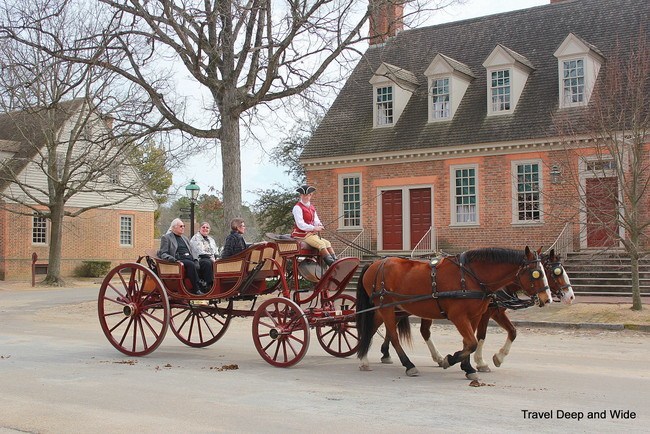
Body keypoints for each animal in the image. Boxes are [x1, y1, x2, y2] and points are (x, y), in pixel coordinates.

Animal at [356, 248, 548, 380]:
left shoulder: (475, 316)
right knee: (393, 336)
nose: (547, 299)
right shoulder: (459, 317)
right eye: (536, 273)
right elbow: (471, 343)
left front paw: (468, 367)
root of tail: (374, 264)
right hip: (386, 307)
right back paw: (408, 365)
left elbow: (470, 342)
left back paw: (364, 358)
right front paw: (451, 360)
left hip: (385, 309)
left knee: (372, 329)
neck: (471, 277)